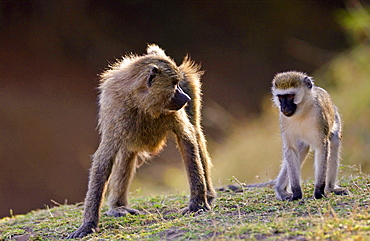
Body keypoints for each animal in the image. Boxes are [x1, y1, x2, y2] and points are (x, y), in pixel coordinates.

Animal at [68, 44, 215, 238]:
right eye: (174, 85)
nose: (186, 98)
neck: (142, 102)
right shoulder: (118, 114)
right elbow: (104, 160)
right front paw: (88, 225)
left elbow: (187, 139)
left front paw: (197, 204)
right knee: (126, 153)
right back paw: (119, 207)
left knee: (196, 132)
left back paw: (209, 194)